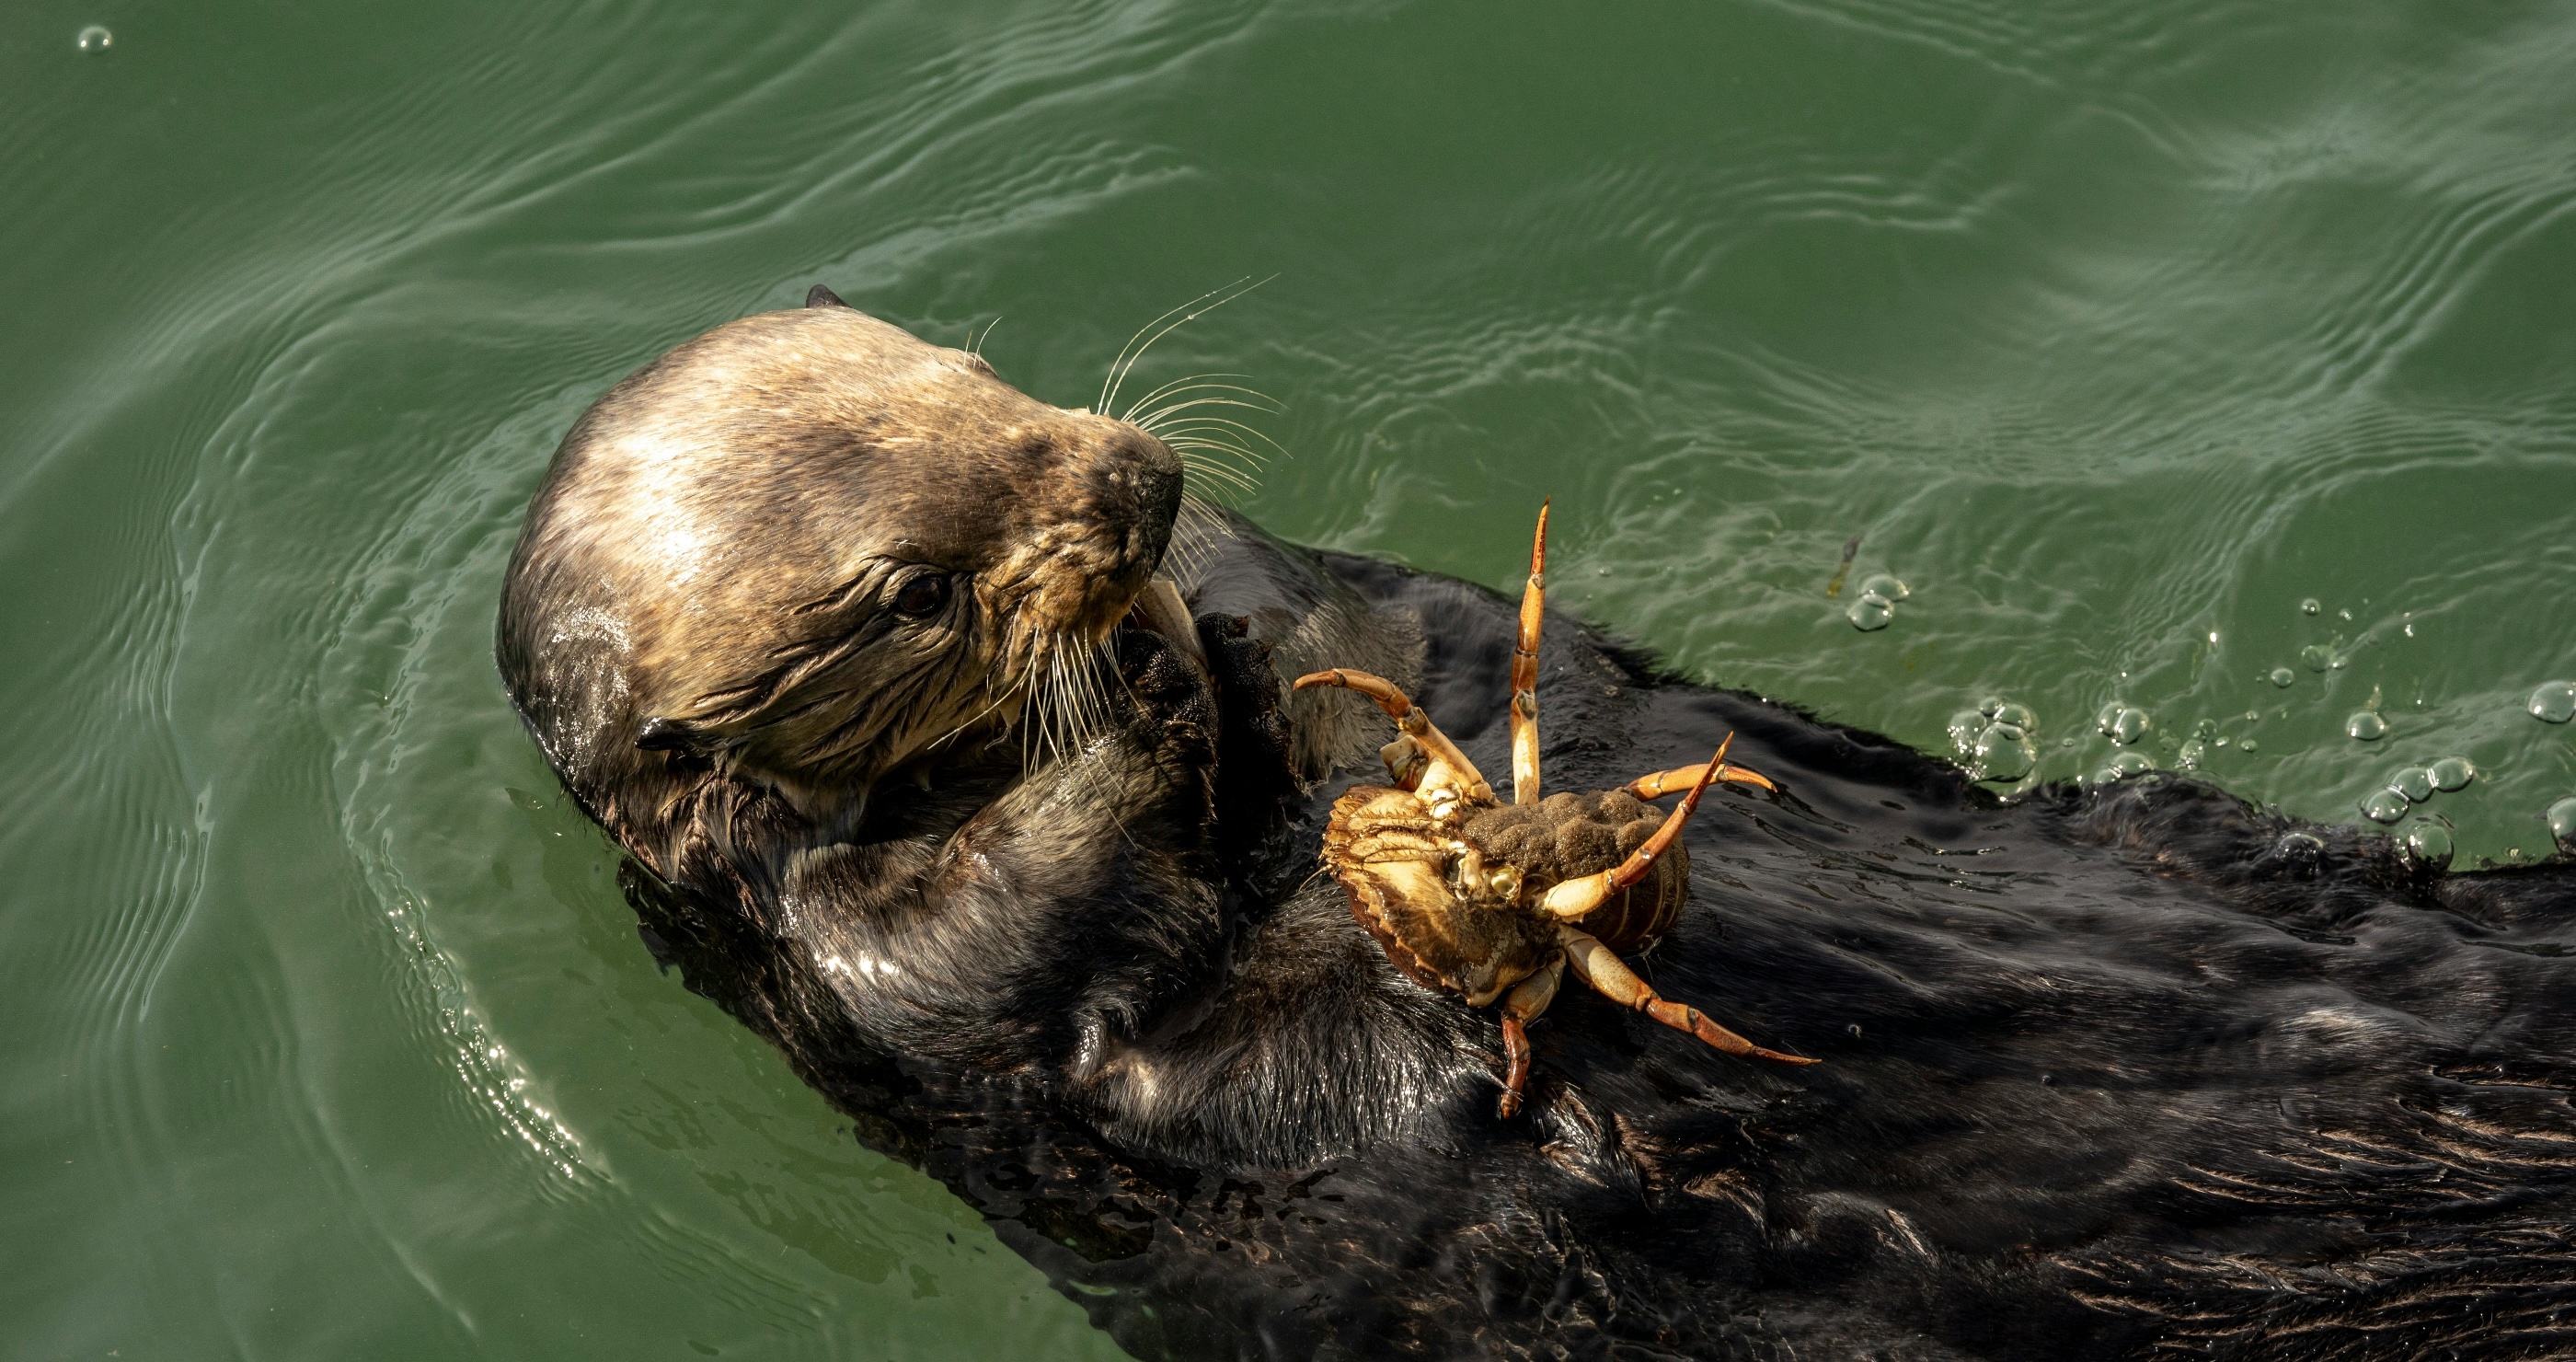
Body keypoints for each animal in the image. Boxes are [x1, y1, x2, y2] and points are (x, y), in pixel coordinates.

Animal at [499, 291, 2576, 1360]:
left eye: (968, 368)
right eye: (910, 593)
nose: (1134, 482)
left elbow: (1408, 643)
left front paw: (1214, 631)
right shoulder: (836, 967)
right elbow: (1008, 966)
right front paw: (1138, 702)